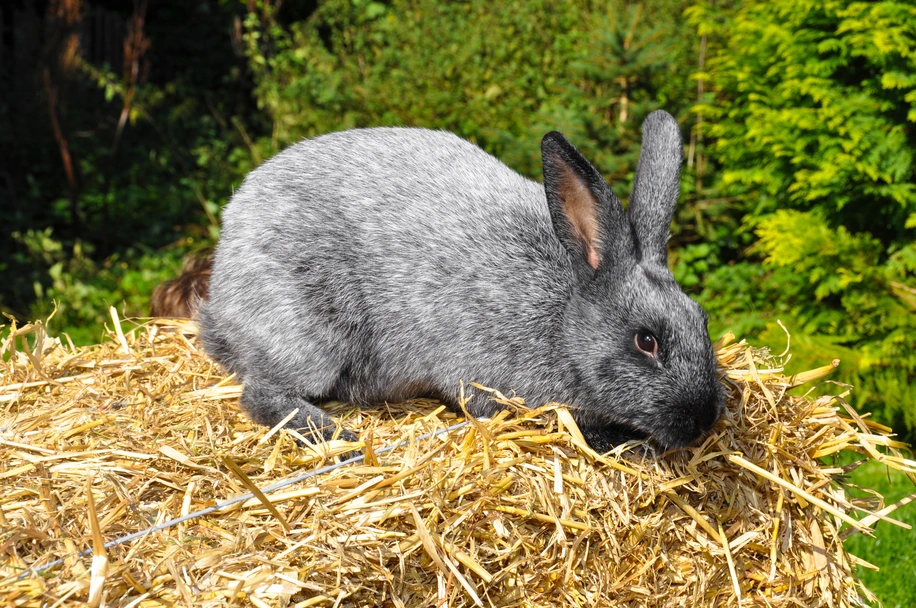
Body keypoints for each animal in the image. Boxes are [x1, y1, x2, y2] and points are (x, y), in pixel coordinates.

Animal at [197, 110, 725, 454]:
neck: (564, 319)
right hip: (309, 332)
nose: (702, 421)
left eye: (703, 322)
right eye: (646, 341)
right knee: (263, 394)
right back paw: (336, 437)